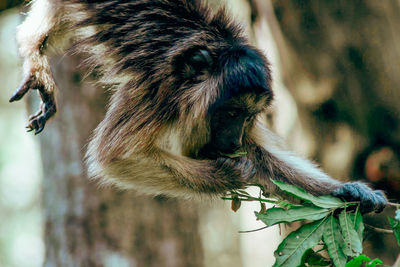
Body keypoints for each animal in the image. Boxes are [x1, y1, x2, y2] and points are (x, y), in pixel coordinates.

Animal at [11, 0, 388, 215]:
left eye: (248, 117)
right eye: (231, 113)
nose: (234, 141)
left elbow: (263, 159)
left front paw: (348, 192)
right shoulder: (157, 90)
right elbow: (114, 157)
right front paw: (225, 175)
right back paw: (35, 56)